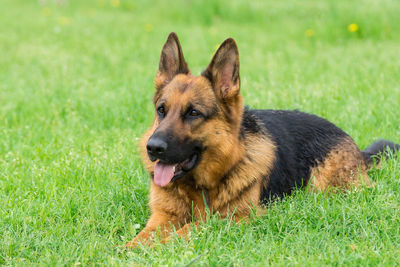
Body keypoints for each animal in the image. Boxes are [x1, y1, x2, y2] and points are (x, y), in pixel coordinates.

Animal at [126, 32, 400, 248]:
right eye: (161, 110)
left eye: (193, 113)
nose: (153, 148)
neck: (200, 186)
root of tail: (356, 148)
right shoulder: (162, 218)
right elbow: (142, 238)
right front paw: (128, 250)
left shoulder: (232, 219)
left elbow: (187, 230)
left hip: (323, 188)